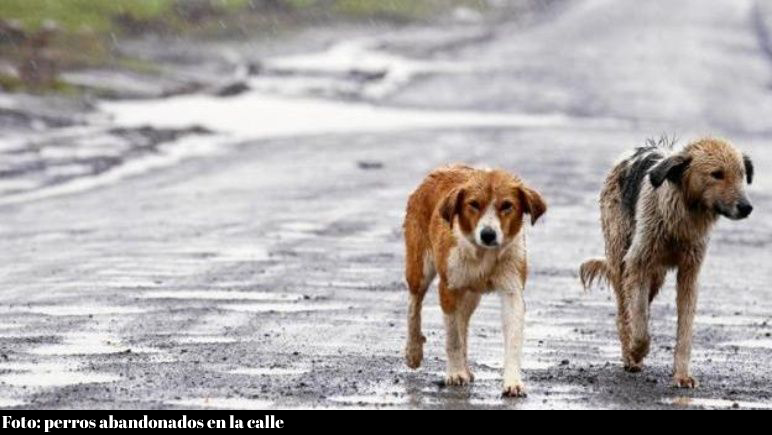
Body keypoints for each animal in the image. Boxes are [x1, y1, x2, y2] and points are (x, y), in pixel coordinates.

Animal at [402, 165, 544, 396]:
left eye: (507, 205)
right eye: (474, 204)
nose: (488, 234)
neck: (483, 255)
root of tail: (440, 169)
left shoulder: (512, 291)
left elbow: (513, 339)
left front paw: (513, 382)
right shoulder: (448, 288)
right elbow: (453, 338)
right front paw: (455, 373)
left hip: (470, 295)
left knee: (463, 322)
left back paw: (466, 368)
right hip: (419, 269)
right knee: (413, 306)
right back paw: (413, 351)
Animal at [580, 137, 752, 388]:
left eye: (741, 175)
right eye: (717, 174)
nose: (747, 207)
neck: (682, 217)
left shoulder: (690, 273)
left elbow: (685, 331)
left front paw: (682, 375)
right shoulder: (637, 263)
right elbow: (639, 323)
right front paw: (637, 350)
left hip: (657, 275)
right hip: (621, 259)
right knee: (624, 313)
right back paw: (630, 357)